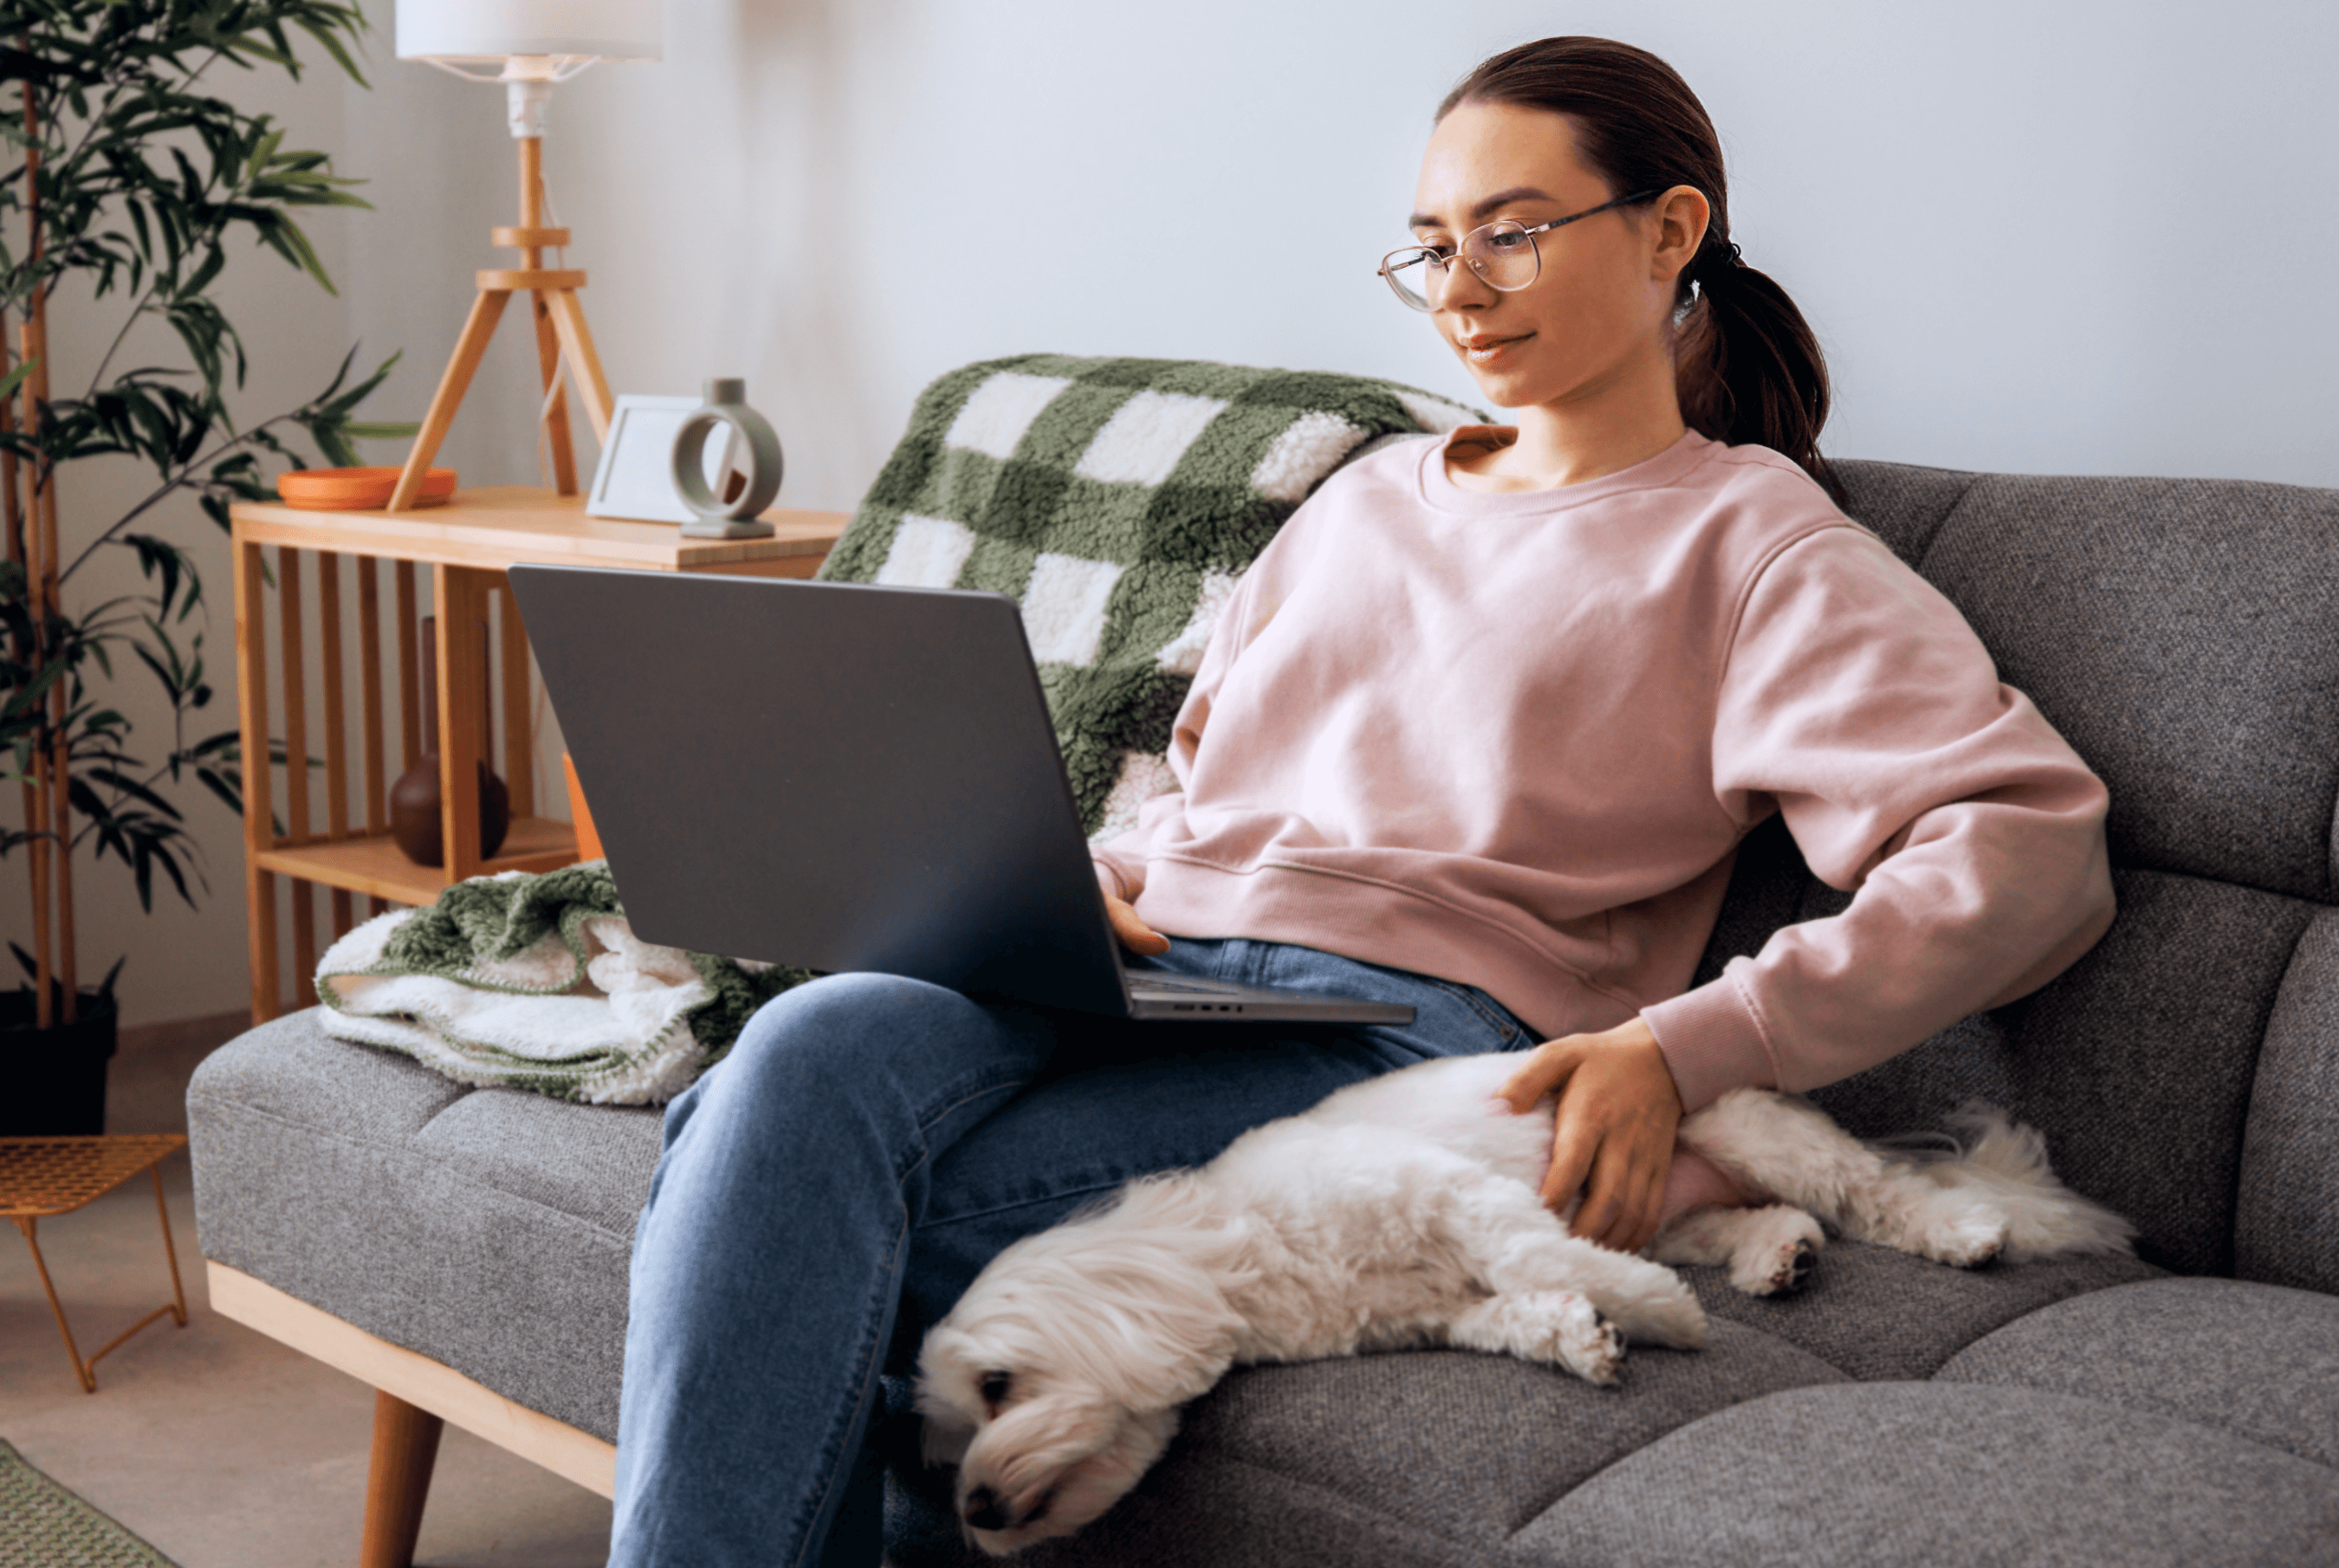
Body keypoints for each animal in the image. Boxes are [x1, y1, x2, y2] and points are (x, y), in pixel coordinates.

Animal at [917, 1048, 2142, 1553]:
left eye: (998, 1384)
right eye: (944, 1445)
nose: (973, 1508)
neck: (1244, 1244)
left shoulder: (1457, 1198)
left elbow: (1531, 1253)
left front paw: (1649, 1312)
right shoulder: (1432, 1309)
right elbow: (1514, 1309)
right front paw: (1582, 1336)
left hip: (1750, 1128)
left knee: (1873, 1193)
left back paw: (1959, 1230)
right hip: (1676, 1204)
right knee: (1780, 1220)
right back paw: (1775, 1259)